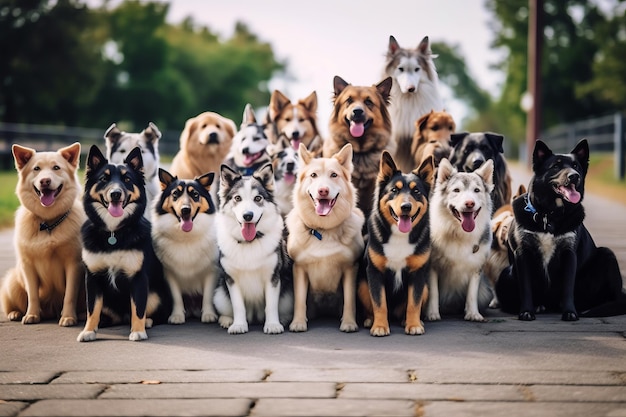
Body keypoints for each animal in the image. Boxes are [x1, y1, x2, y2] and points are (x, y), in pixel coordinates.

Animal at [0, 143, 85, 324]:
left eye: (56, 168)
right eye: (36, 169)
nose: (45, 181)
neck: (48, 223)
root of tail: (51, 311)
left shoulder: (74, 264)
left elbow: (69, 295)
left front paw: (68, 317)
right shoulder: (28, 266)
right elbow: (32, 295)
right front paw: (31, 315)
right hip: (12, 282)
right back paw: (15, 313)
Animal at [77, 144, 172, 342]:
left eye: (127, 179)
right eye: (103, 179)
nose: (115, 194)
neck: (114, 233)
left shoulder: (138, 277)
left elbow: (138, 308)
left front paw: (138, 331)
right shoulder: (93, 278)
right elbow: (92, 309)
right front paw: (88, 330)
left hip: (155, 294)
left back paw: (147, 322)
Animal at [356, 151, 434, 336]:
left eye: (416, 191)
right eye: (394, 190)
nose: (406, 207)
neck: (400, 236)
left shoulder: (418, 274)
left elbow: (413, 303)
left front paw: (414, 325)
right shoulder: (374, 273)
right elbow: (379, 303)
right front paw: (379, 326)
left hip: (426, 288)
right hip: (362, 285)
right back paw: (370, 320)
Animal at [494, 138, 620, 320]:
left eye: (576, 166)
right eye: (555, 166)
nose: (574, 176)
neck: (550, 215)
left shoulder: (569, 253)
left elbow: (567, 287)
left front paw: (569, 312)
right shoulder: (523, 253)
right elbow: (526, 288)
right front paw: (526, 311)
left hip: (607, 254)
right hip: (505, 275)